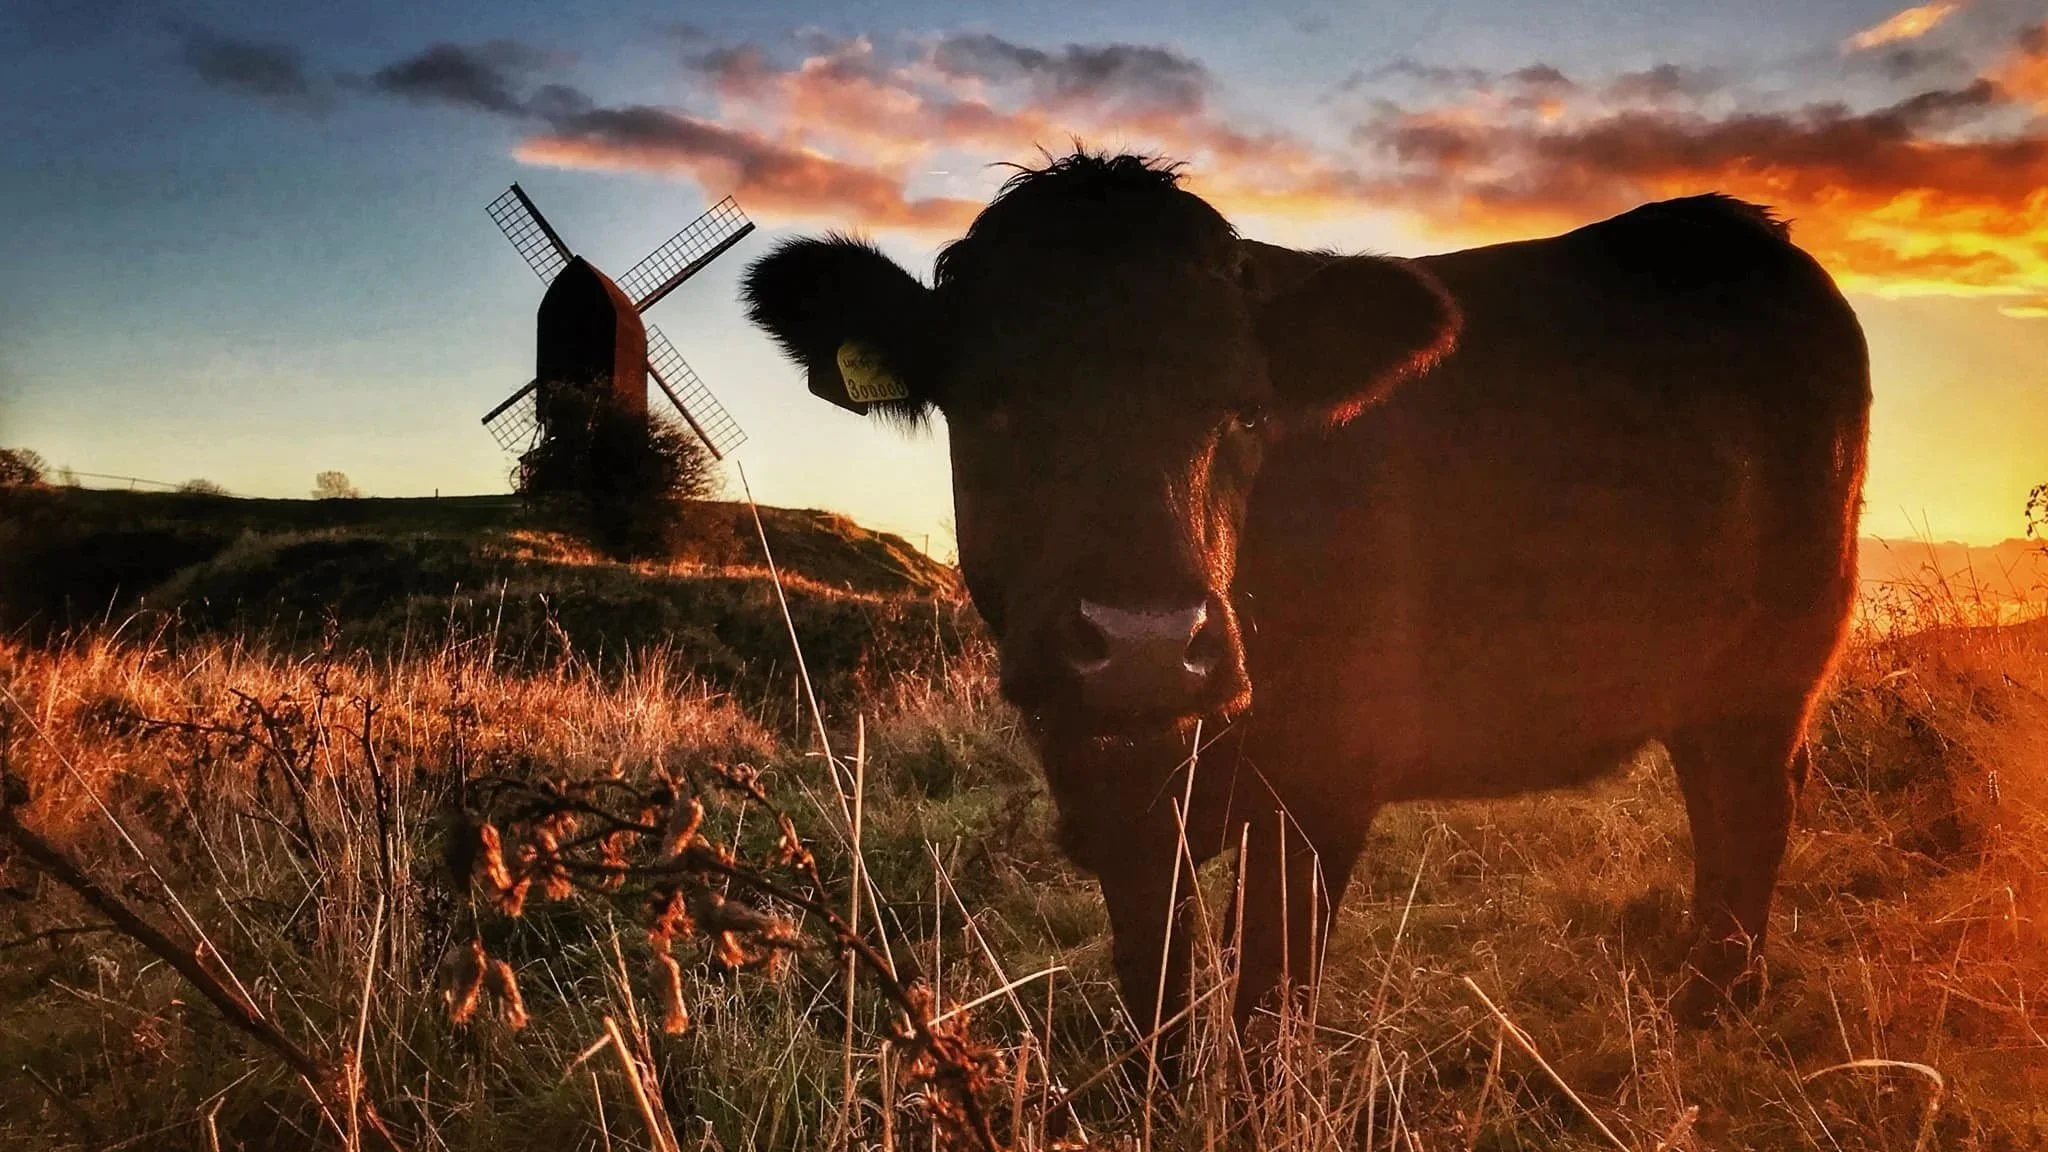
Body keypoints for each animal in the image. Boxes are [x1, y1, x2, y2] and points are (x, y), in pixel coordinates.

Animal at [742, 151, 1870, 1046]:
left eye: (1245, 413)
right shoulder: (1111, 792)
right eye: (994, 405)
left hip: (1773, 665)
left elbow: (1265, 1020)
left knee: (1749, 806)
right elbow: (1159, 999)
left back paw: (1709, 1005)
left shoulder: (1322, 780)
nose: (1145, 641)